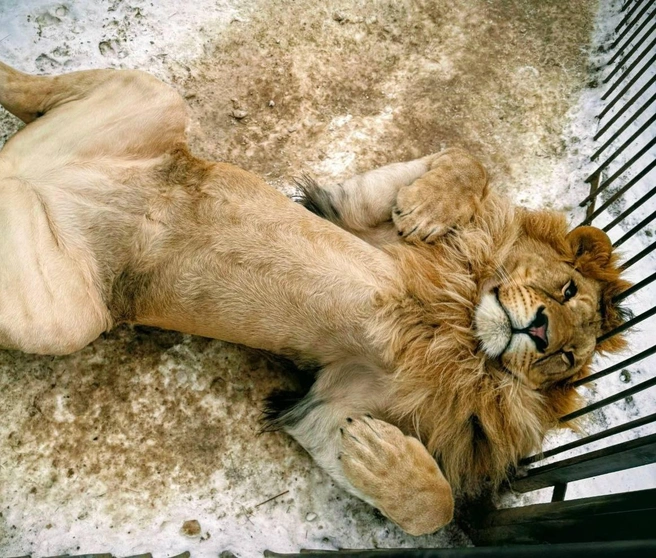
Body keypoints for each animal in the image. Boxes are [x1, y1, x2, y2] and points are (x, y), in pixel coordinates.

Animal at [0, 62, 629, 536]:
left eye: (566, 359)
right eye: (566, 289)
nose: (542, 332)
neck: (458, 328)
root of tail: (31, 169)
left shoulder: (331, 401)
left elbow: (434, 505)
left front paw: (378, 454)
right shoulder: (359, 212)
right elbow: (468, 160)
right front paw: (428, 208)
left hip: (62, 311)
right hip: (157, 103)